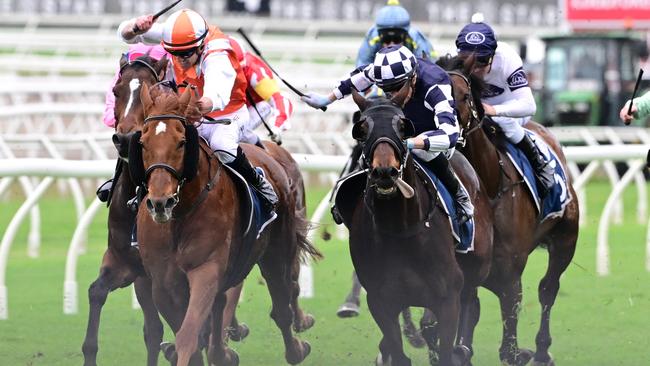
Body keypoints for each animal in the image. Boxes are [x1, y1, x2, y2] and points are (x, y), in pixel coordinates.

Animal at [130, 84, 318, 364]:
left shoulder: (206, 269)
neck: (179, 218)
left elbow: (188, 334)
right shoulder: (163, 284)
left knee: (283, 299)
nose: (160, 202)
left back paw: (295, 348)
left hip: (277, 251)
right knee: (221, 307)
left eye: (182, 142)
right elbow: (191, 334)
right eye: (142, 142)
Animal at [340, 92, 492, 366]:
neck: (400, 229)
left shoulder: (448, 299)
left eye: (403, 126)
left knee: (470, 302)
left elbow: (444, 347)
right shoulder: (380, 301)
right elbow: (398, 350)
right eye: (362, 128)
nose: (385, 171)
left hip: (476, 268)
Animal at [438, 56, 580, 366]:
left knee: (548, 289)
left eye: (464, 96)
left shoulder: (510, 274)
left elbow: (509, 346)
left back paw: (542, 350)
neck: (489, 186)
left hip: (565, 239)